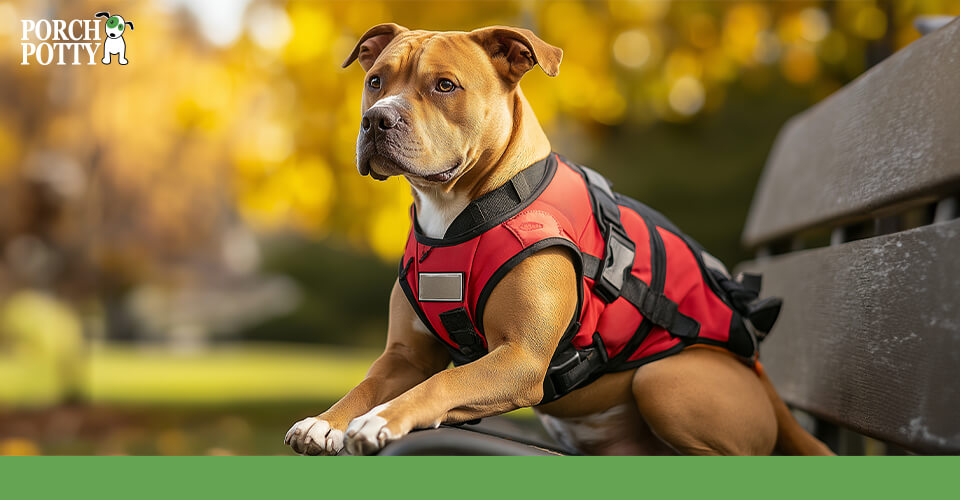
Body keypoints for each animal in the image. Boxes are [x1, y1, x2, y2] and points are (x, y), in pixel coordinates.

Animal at [280, 26, 832, 458]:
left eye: (445, 85)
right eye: (375, 81)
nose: (376, 118)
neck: (458, 210)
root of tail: (764, 379)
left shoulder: (519, 357)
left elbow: (447, 380)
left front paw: (382, 418)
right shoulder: (404, 358)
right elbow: (367, 384)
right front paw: (325, 422)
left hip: (666, 380)